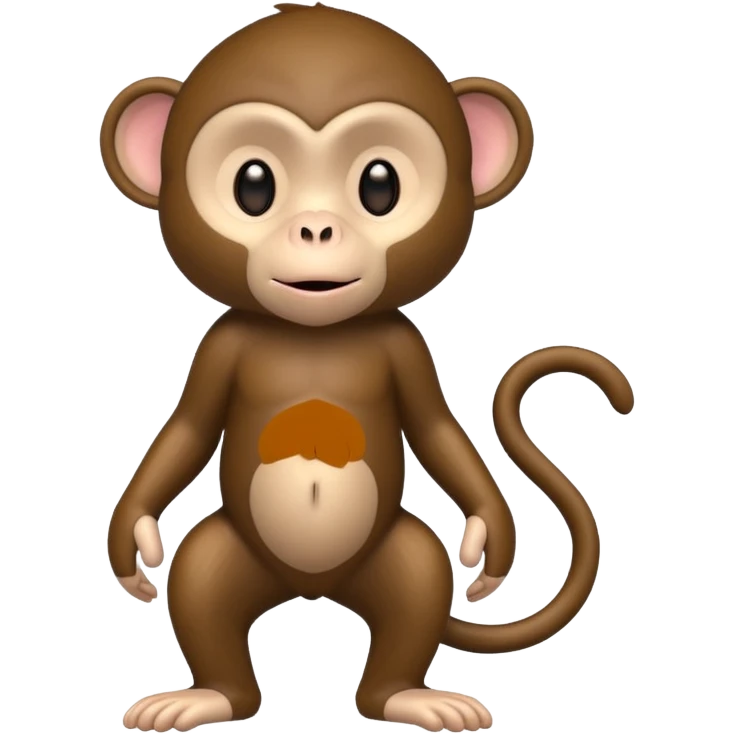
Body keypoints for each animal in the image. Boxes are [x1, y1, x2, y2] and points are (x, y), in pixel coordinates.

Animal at [100, 3, 635, 732]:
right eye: (253, 186)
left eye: (380, 186)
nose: (316, 229)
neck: (315, 333)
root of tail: (312, 589)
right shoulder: (220, 344)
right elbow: (186, 430)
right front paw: (132, 542)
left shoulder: (405, 346)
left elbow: (438, 430)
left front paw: (489, 541)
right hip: (227, 558)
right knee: (200, 591)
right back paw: (206, 696)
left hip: (399, 560)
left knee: (415, 598)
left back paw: (410, 696)